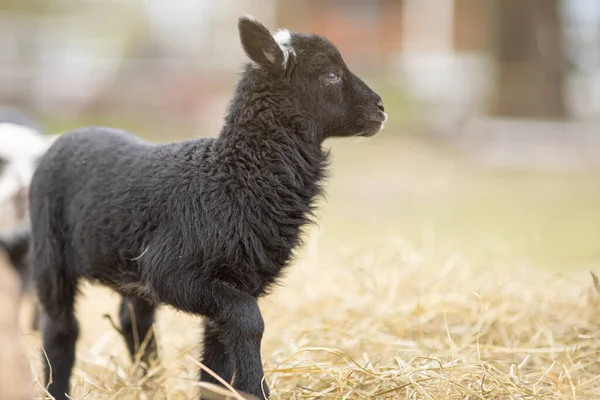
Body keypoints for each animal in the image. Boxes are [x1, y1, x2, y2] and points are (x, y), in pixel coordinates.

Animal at [29, 16, 384, 400]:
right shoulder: (172, 272)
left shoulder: (232, 281)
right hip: (50, 255)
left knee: (134, 320)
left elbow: (216, 358)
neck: (231, 175)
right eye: (329, 74)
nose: (381, 109)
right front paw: (255, 388)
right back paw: (57, 387)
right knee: (61, 329)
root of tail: (69, 135)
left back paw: (149, 386)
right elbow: (249, 320)